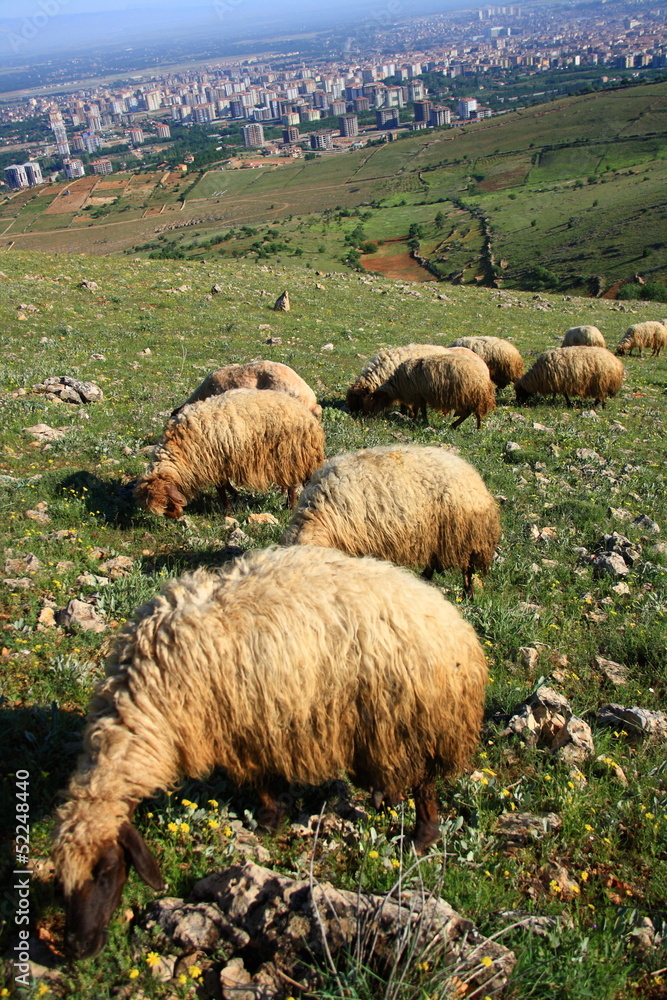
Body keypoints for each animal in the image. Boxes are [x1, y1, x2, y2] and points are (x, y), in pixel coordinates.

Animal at [52, 544, 488, 959]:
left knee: (424, 782)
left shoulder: (239, 724)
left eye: (107, 871)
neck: (148, 699)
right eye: (60, 882)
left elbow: (256, 779)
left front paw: (266, 820)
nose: (77, 947)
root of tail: (456, 628)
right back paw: (387, 797)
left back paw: (420, 838)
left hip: (410, 718)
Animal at [134, 389, 325, 517]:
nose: (176, 517)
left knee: (292, 482)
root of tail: (305, 413)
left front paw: (228, 510)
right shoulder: (219, 462)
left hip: (289, 452)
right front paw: (235, 496)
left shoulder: (213, 462)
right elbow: (225, 484)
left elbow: (220, 488)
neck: (179, 448)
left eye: (167, 502)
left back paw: (290, 505)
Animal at [368, 353, 496, 428]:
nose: (371, 415)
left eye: (377, 399)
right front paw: (420, 419)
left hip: (469, 395)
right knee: (471, 413)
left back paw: (461, 426)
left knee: (470, 412)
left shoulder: (417, 394)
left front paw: (416, 419)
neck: (398, 384)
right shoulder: (420, 395)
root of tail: (484, 372)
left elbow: (419, 409)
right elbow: (421, 409)